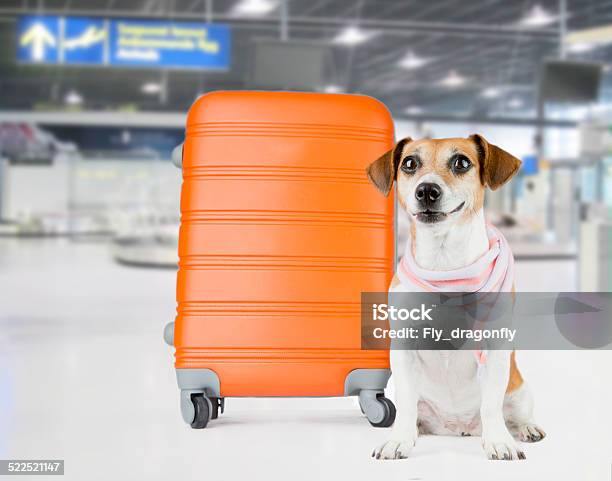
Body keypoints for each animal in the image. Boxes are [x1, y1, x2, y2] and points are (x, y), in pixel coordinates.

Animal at [366, 134, 548, 458]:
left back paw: (525, 429)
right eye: (409, 163)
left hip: (519, 390)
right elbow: (406, 405)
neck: (445, 266)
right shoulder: (403, 348)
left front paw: (499, 442)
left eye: (461, 162)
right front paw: (399, 440)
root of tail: (457, 428)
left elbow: (491, 406)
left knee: (514, 414)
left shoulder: (495, 348)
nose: (427, 190)